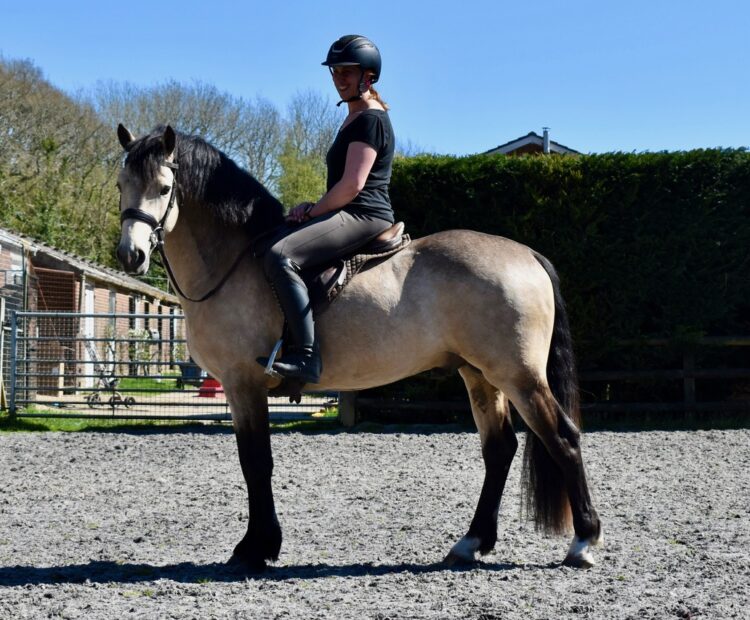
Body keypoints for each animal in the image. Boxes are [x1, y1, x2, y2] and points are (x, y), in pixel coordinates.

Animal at [115, 124, 603, 571]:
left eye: (164, 188)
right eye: (121, 185)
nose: (130, 255)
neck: (235, 261)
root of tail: (527, 255)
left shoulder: (243, 384)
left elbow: (256, 463)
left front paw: (255, 548)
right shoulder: (241, 389)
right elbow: (255, 463)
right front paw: (260, 545)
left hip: (518, 376)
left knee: (562, 438)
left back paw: (583, 542)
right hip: (479, 375)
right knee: (499, 450)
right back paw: (471, 543)